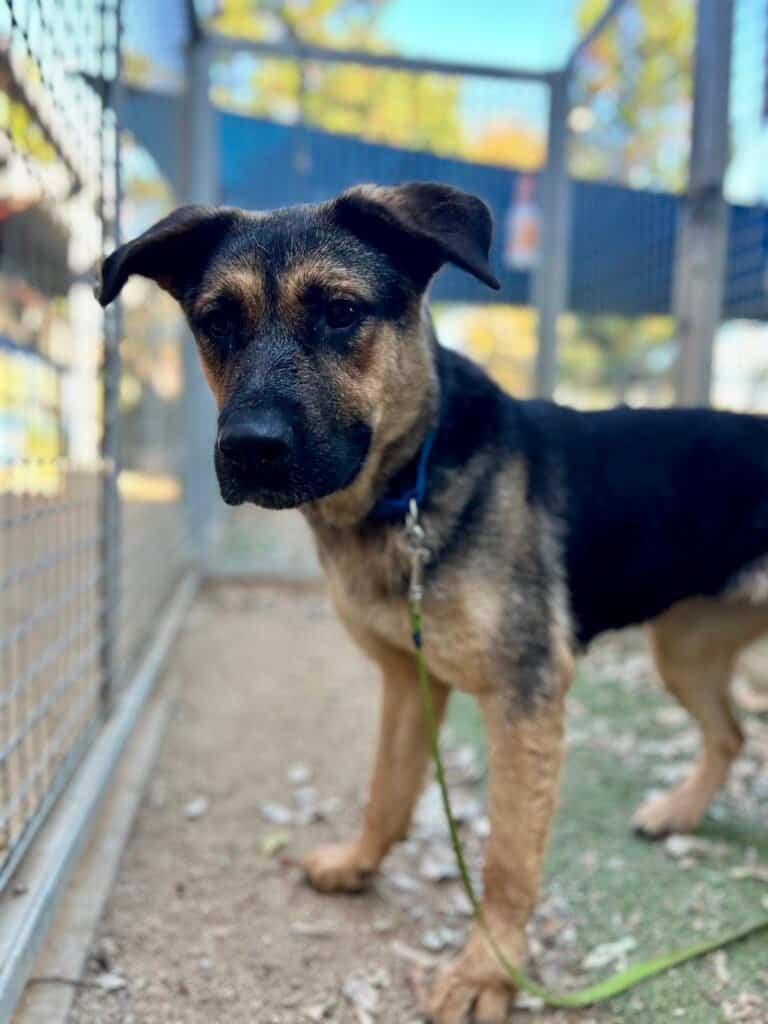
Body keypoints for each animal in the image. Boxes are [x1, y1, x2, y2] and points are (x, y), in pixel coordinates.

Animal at [99, 186, 768, 1024]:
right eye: (217, 319)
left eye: (342, 312)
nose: (249, 448)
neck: (408, 484)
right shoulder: (406, 678)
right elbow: (387, 791)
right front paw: (357, 865)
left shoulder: (524, 697)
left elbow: (508, 858)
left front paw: (488, 973)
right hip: (684, 649)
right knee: (731, 733)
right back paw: (678, 811)